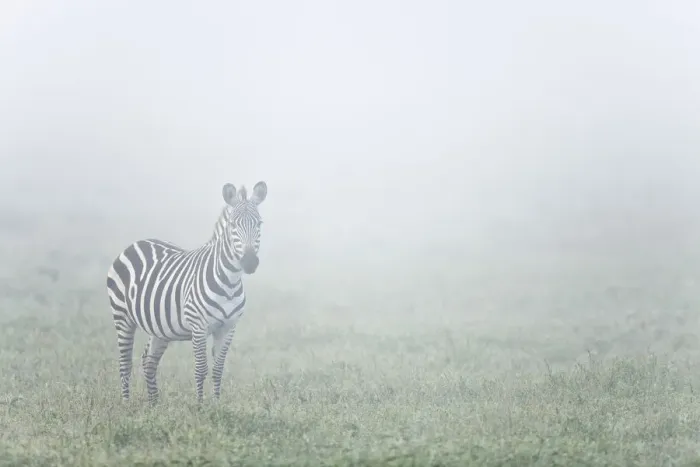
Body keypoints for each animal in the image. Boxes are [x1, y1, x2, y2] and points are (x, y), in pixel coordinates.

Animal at [106, 181, 267, 403]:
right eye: (233, 226)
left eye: (259, 224)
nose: (250, 262)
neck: (230, 281)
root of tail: (138, 242)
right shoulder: (198, 327)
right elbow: (201, 369)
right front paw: (200, 406)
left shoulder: (228, 328)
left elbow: (218, 369)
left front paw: (217, 405)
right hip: (122, 316)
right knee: (124, 364)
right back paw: (126, 404)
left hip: (159, 328)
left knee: (149, 361)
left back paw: (154, 405)